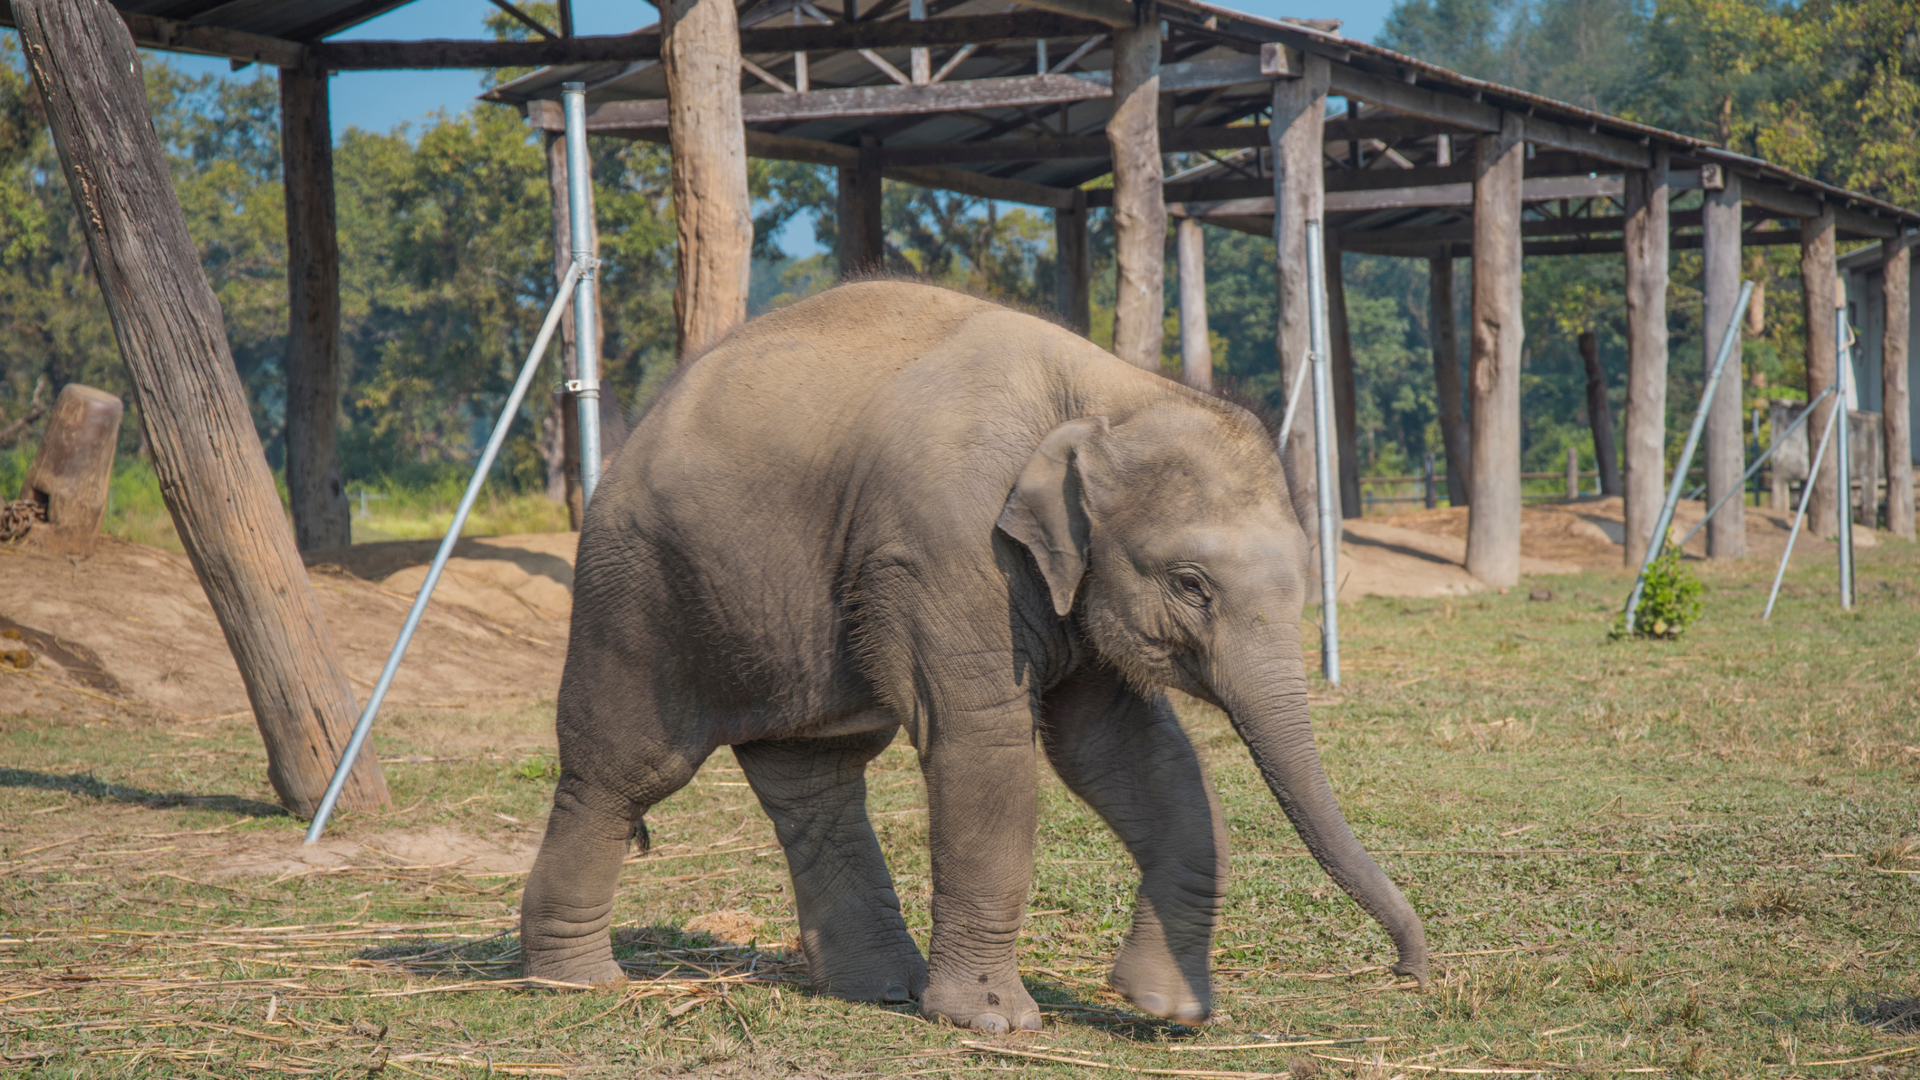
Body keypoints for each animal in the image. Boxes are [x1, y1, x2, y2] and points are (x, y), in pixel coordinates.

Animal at [526, 276, 1428, 1022]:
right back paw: (574, 982)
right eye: (1191, 583)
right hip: (637, 586)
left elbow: (1121, 749)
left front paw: (1168, 1008)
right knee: (625, 769)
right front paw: (994, 1021)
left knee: (817, 774)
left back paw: (880, 988)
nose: (1409, 971)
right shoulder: (949, 547)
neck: (1106, 392)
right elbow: (984, 742)